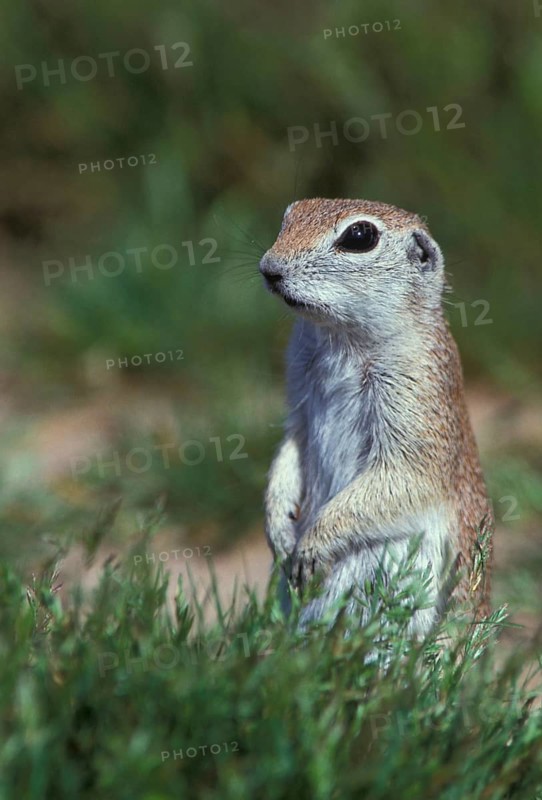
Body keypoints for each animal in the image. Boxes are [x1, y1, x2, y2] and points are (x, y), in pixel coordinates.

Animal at [260, 197, 493, 634]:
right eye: (288, 216)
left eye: (360, 236)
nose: (269, 268)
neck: (339, 339)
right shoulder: (298, 400)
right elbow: (289, 449)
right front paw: (279, 530)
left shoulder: (416, 398)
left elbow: (405, 477)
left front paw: (310, 546)